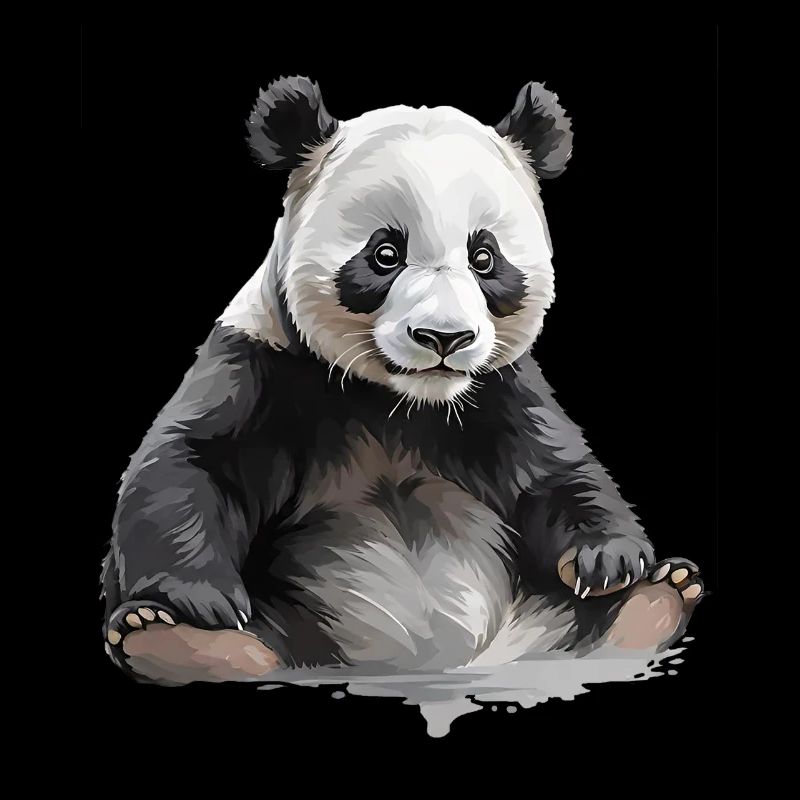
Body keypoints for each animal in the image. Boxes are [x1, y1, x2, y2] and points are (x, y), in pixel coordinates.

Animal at [102, 76, 704, 684]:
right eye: (385, 253)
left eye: (484, 258)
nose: (444, 338)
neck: (400, 402)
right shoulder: (262, 362)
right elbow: (192, 461)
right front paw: (199, 599)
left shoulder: (499, 390)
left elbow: (553, 470)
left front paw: (609, 560)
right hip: (297, 629)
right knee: (253, 641)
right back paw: (180, 639)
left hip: (543, 620)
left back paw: (655, 599)